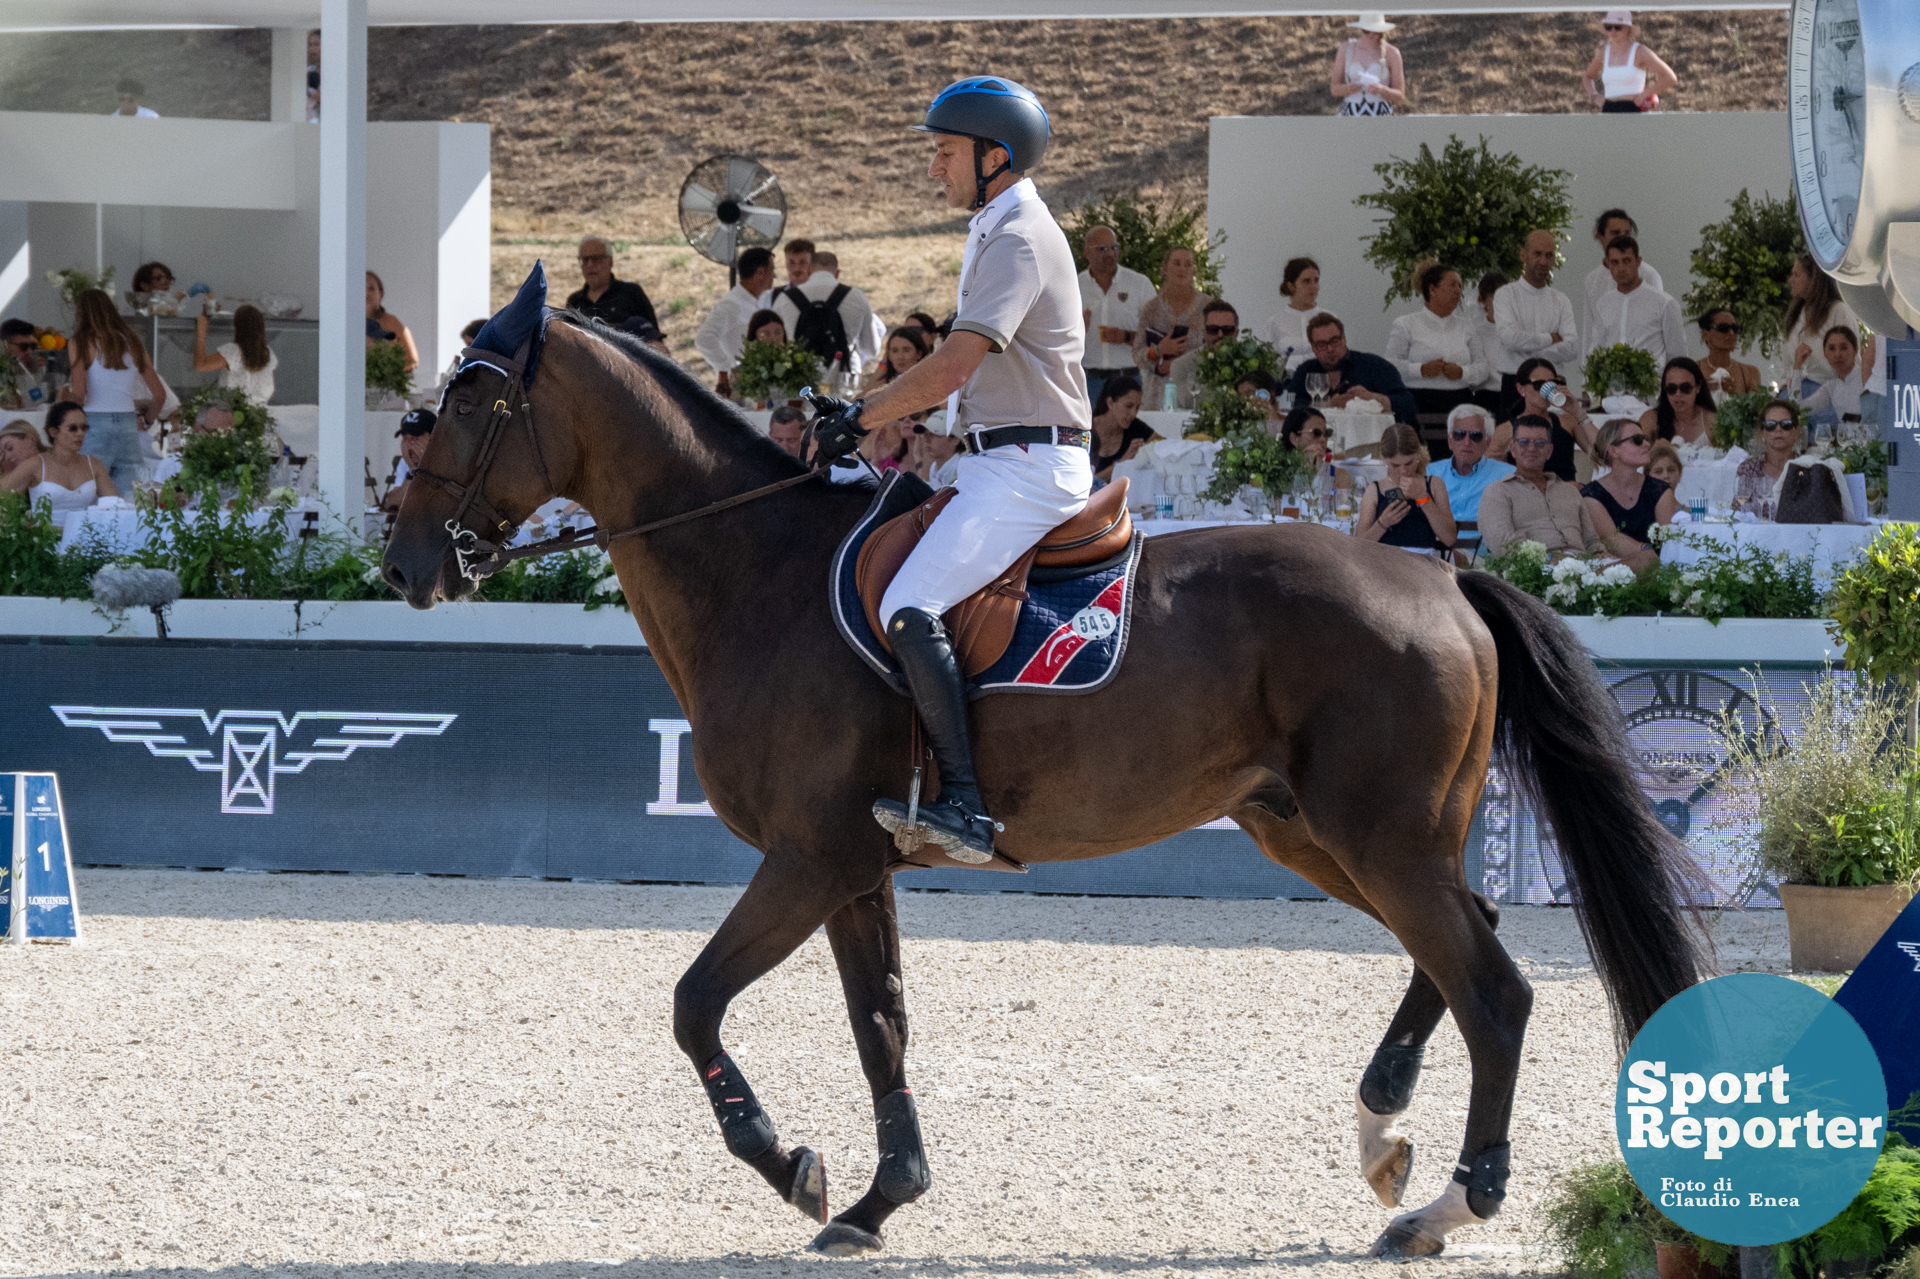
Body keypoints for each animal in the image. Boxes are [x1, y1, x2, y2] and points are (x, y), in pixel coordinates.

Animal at [382, 307, 1704, 1252]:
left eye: (471, 400)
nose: (401, 562)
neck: (757, 570)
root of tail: (1441, 576)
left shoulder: (808, 857)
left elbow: (695, 1001)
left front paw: (789, 1163)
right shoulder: (856, 865)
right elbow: (880, 1024)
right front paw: (879, 1198)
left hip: (1376, 835)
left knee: (1494, 988)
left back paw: (1450, 1204)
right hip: (1320, 833)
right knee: (1463, 944)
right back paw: (1385, 1130)